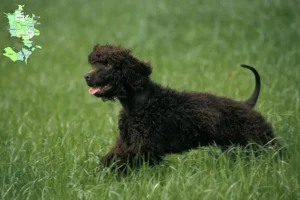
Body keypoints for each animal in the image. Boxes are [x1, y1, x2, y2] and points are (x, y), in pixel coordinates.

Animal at [83, 45, 276, 169]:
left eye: (108, 64)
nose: (86, 76)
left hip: (260, 139)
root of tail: (247, 104)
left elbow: (120, 161)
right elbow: (110, 159)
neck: (140, 102)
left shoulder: (143, 146)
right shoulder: (126, 141)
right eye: (95, 64)